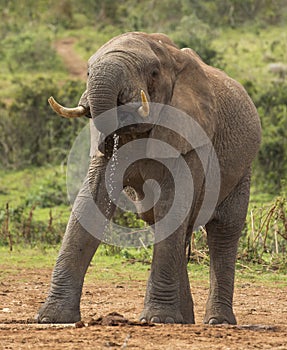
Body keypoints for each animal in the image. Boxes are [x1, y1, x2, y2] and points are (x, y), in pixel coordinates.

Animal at [36, 32, 260, 326]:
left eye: (153, 72)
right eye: (87, 71)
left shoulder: (190, 137)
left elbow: (174, 202)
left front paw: (156, 319)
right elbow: (90, 201)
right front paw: (50, 318)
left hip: (242, 169)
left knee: (224, 230)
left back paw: (216, 321)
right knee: (167, 223)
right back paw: (184, 319)